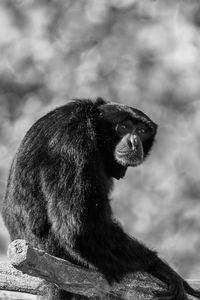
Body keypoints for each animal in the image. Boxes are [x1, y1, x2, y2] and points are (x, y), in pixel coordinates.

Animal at [1, 98, 200, 300]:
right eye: (124, 127)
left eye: (142, 131)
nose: (134, 142)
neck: (92, 123)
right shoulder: (72, 139)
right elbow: (81, 229)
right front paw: (161, 267)